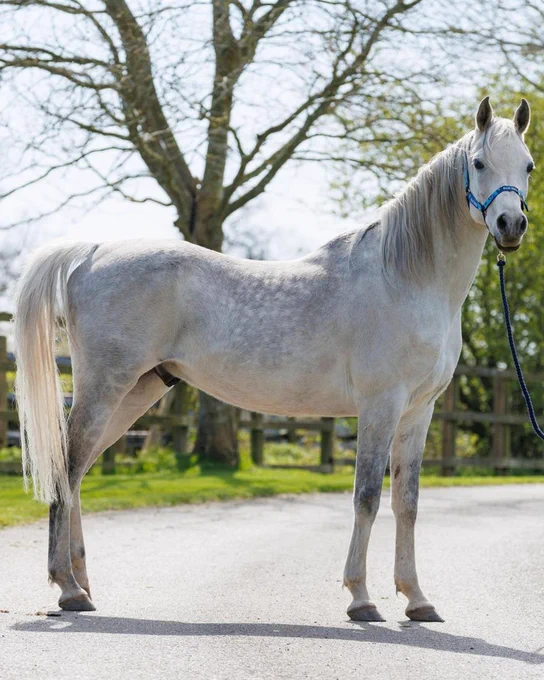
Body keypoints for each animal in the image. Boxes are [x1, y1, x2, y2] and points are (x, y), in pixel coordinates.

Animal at [14, 96, 533, 621]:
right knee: (67, 471)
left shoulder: (418, 411)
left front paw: (417, 599)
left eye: (528, 166)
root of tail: (91, 253)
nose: (510, 226)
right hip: (105, 388)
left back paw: (82, 585)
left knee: (78, 473)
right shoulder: (380, 405)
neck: (404, 277)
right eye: (478, 163)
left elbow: (406, 502)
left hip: (137, 391)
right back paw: (67, 588)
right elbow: (366, 496)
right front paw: (361, 598)